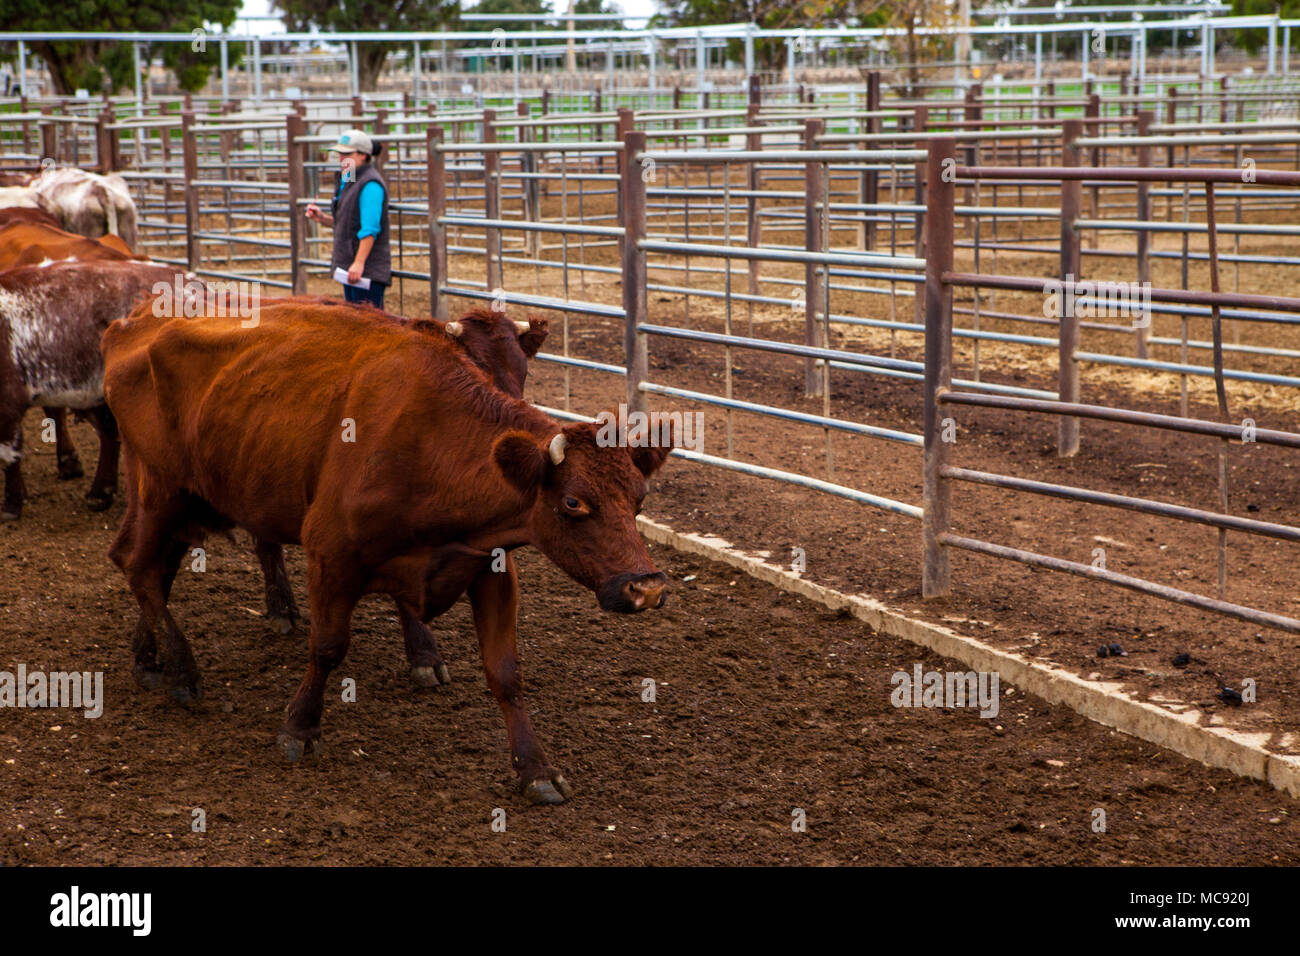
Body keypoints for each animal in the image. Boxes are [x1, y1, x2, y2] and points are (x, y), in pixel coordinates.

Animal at [103, 299, 671, 804]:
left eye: (639, 498)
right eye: (574, 502)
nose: (646, 587)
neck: (429, 442)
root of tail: (128, 325)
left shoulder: (490, 567)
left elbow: (505, 672)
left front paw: (536, 769)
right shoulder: (330, 555)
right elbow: (327, 648)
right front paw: (300, 728)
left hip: (188, 499)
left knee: (157, 568)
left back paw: (147, 657)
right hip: (159, 488)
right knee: (137, 564)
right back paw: (181, 670)